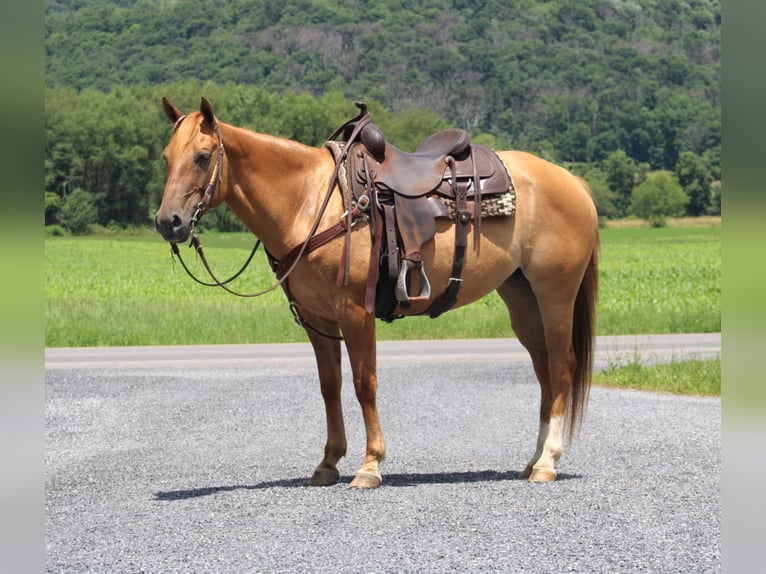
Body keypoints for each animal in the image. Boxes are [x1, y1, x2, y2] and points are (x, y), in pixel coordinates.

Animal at [156, 98, 600, 490]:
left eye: (202, 156)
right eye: (165, 157)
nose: (168, 222)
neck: (311, 202)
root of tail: (572, 181)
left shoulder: (355, 311)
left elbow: (363, 383)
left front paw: (370, 466)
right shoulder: (317, 320)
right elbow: (330, 386)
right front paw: (328, 463)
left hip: (555, 295)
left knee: (562, 366)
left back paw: (547, 462)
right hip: (521, 298)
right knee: (543, 371)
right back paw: (533, 459)